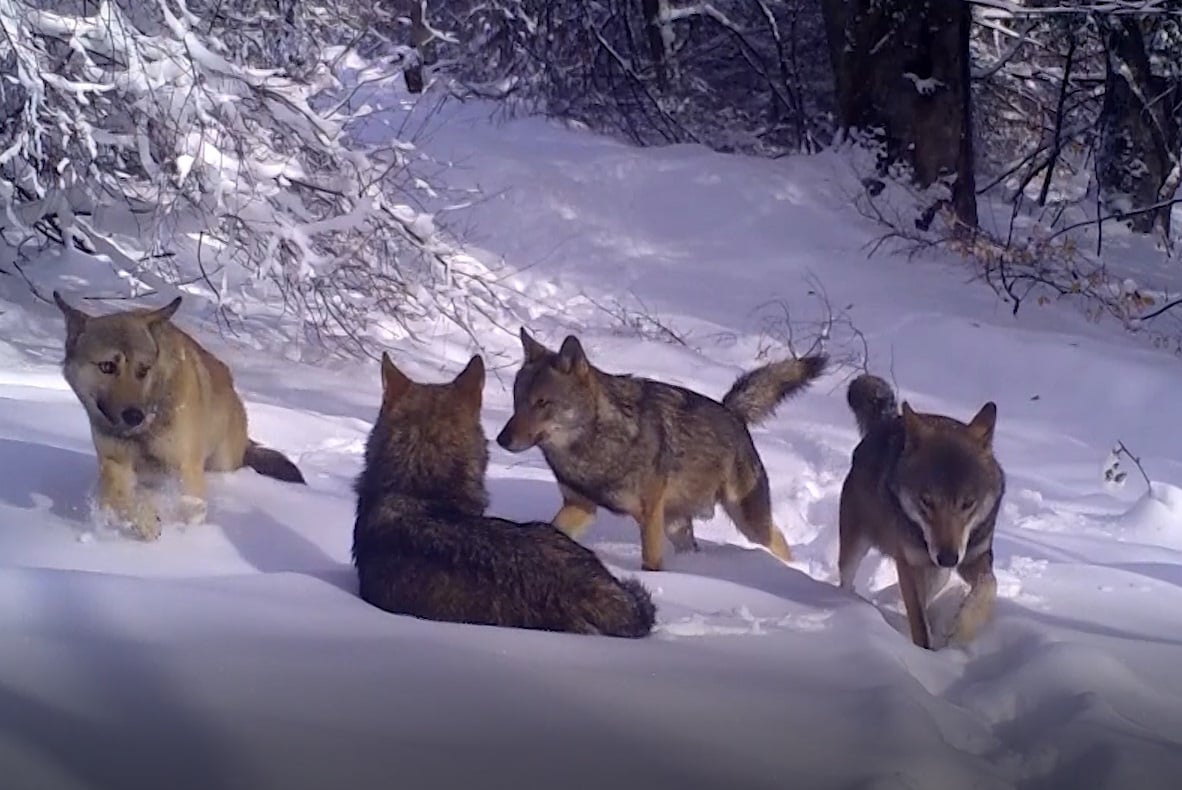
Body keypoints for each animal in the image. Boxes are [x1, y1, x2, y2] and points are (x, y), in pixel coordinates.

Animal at [54, 293, 304, 539]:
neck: (147, 428)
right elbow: (118, 497)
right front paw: (145, 521)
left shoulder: (184, 467)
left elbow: (188, 506)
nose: (135, 416)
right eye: (107, 366)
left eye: (143, 369)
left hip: (222, 460)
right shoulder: (114, 463)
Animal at [494, 331, 827, 570]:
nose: (501, 439)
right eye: (517, 400)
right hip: (677, 527)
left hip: (749, 523)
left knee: (779, 543)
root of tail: (732, 412)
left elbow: (651, 564)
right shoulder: (580, 506)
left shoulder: (648, 515)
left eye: (542, 403)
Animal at [836, 373, 1002, 652]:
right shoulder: (910, 564)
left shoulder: (975, 557)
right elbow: (920, 627)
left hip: (938, 571)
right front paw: (927, 655)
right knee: (845, 581)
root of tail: (886, 422)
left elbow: (988, 586)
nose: (948, 558)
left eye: (968, 503)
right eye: (927, 501)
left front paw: (960, 633)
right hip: (855, 547)